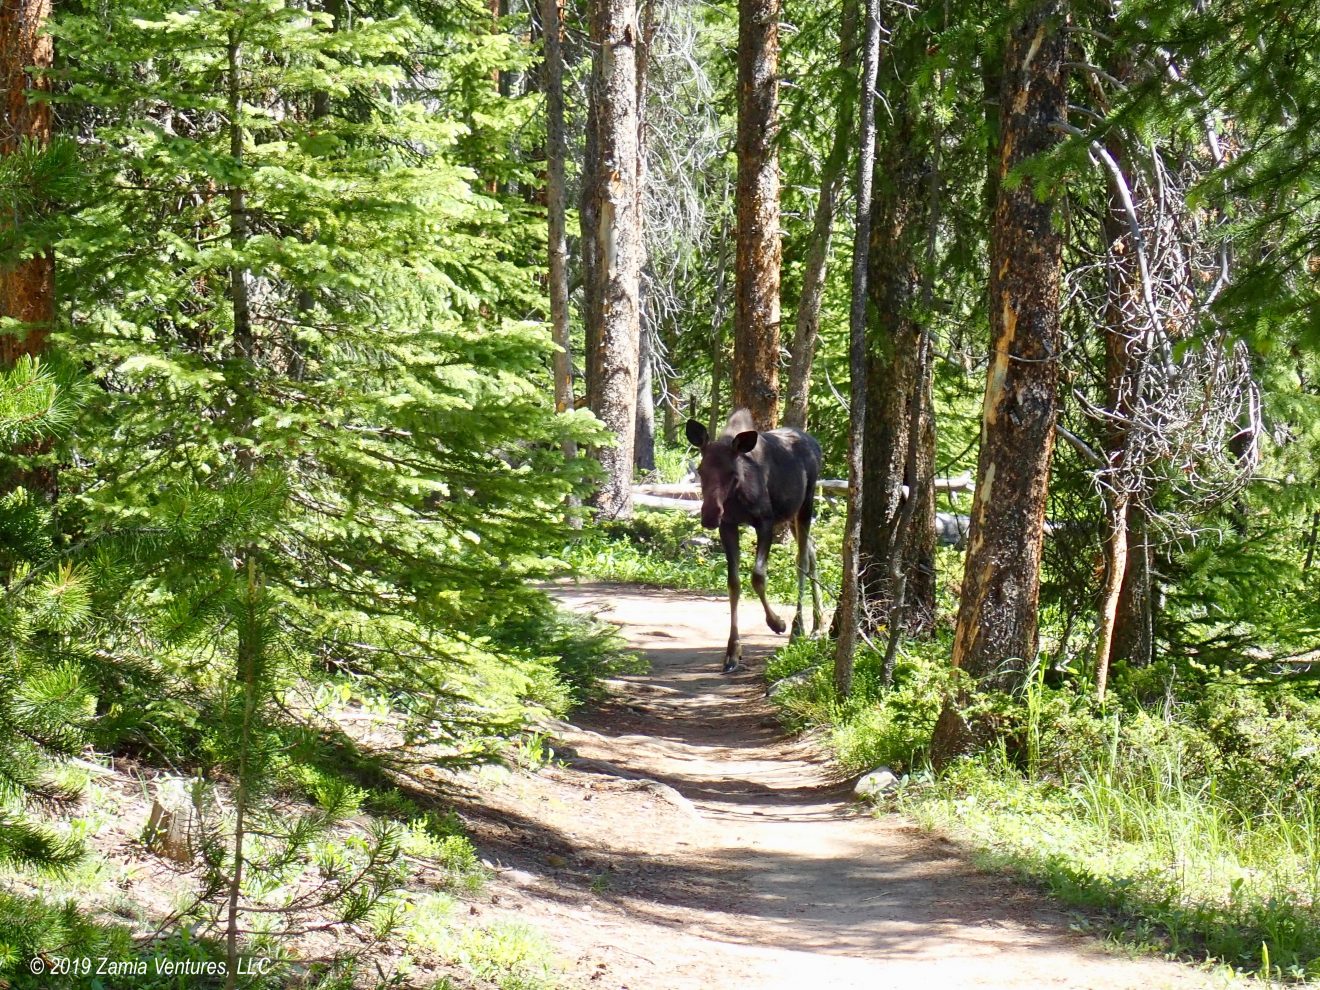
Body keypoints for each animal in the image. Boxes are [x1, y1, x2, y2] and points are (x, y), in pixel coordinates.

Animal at [685, 409, 824, 673]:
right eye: (700, 469)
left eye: (732, 472)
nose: (709, 515)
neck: (737, 497)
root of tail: (814, 441)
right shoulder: (728, 525)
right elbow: (733, 583)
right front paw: (732, 652)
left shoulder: (765, 521)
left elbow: (758, 576)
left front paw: (777, 623)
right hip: (790, 515)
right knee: (812, 551)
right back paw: (819, 623)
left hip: (806, 503)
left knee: (801, 559)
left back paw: (798, 628)